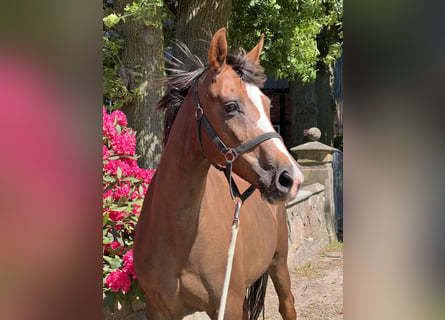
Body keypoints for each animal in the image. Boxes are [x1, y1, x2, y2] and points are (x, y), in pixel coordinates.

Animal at [134, 28, 304, 320]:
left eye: (268, 104)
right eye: (231, 106)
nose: (290, 177)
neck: (178, 236)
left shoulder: (227, 306)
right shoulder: (158, 309)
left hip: (279, 265)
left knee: (288, 305)